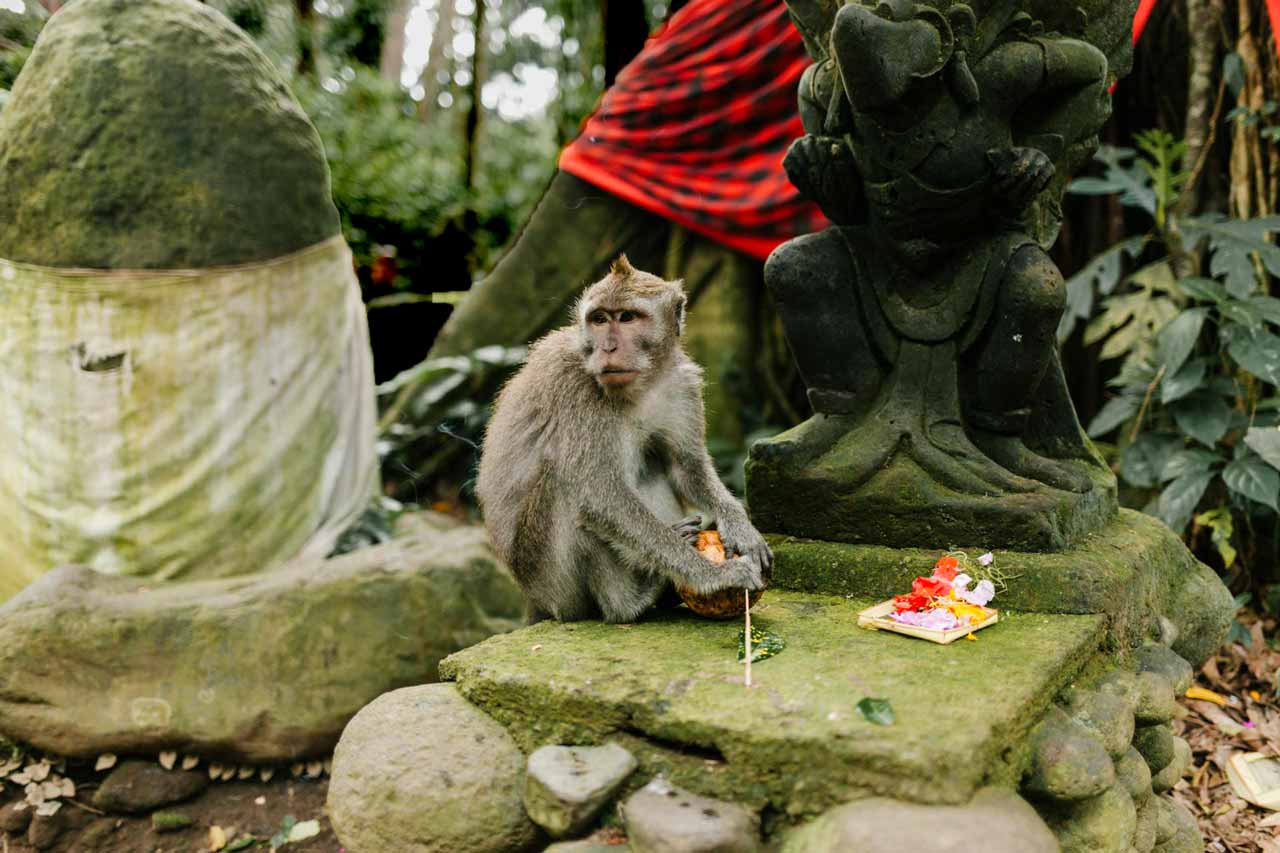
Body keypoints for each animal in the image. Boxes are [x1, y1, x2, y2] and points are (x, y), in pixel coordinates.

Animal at [473, 256, 762, 622]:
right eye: (599, 319)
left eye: (627, 317)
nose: (607, 347)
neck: (643, 384)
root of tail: (535, 599)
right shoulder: (578, 391)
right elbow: (599, 497)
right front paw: (713, 575)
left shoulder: (682, 383)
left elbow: (685, 466)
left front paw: (741, 526)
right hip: (551, 582)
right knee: (566, 484)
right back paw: (631, 601)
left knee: (650, 463)